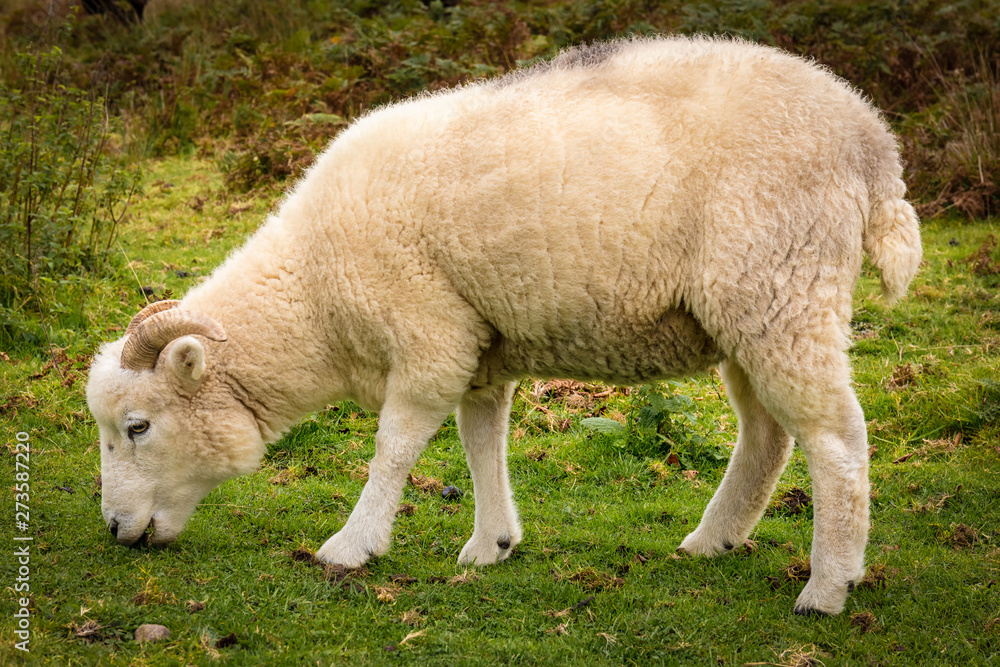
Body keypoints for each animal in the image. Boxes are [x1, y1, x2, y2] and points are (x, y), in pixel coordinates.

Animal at [86, 35, 922, 616]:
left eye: (136, 426)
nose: (116, 530)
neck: (316, 294)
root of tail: (873, 144)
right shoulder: (479, 343)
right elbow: (480, 437)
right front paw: (492, 543)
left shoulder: (428, 332)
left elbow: (395, 445)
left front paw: (352, 545)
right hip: (745, 313)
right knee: (768, 434)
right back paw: (713, 539)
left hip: (782, 289)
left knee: (836, 440)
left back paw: (827, 586)